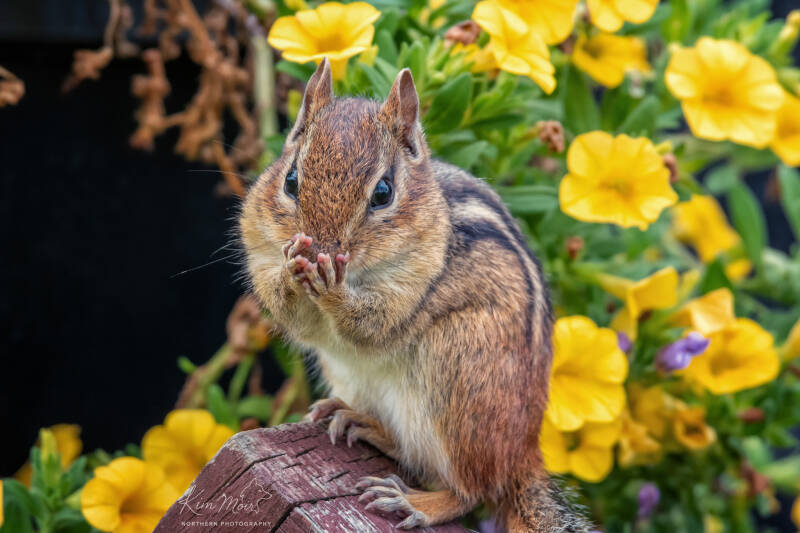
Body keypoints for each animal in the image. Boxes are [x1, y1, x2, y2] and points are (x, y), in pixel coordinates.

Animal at [240, 58, 589, 532]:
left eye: (383, 192)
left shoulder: (410, 290)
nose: (320, 250)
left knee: (471, 491)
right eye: (291, 180)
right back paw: (359, 421)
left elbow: (369, 326)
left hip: (457, 378)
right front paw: (292, 271)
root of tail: (521, 453)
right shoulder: (261, 253)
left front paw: (333, 289)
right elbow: (289, 312)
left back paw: (414, 502)